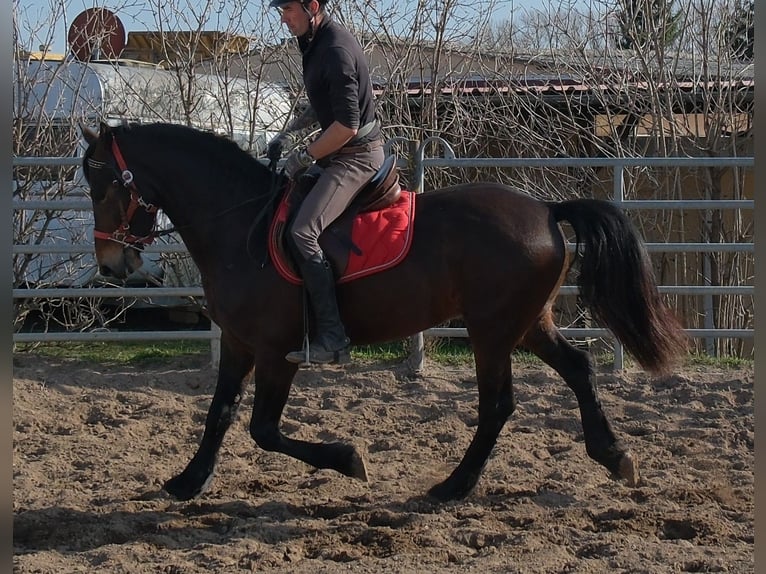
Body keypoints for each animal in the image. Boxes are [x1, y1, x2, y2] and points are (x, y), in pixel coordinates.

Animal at [81, 121, 686, 502]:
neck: (239, 223)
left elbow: (263, 429)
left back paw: (454, 486)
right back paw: (613, 455)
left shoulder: (278, 352)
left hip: (492, 331)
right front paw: (189, 481)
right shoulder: (238, 342)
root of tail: (545, 210)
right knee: (578, 370)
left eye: (104, 183)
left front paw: (349, 460)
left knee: (497, 405)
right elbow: (220, 414)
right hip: (528, 325)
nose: (111, 262)